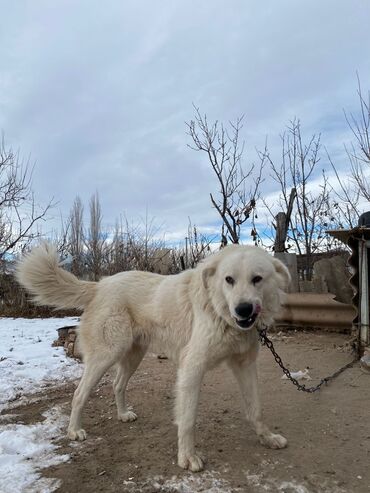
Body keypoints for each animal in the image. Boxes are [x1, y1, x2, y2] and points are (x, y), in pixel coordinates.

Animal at [16, 244, 290, 470]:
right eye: (229, 280)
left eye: (257, 279)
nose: (243, 309)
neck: (218, 310)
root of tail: (99, 285)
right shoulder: (192, 368)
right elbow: (187, 419)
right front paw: (187, 458)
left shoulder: (245, 365)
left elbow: (256, 409)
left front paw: (267, 438)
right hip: (106, 355)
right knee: (79, 393)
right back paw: (74, 431)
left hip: (133, 355)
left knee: (117, 384)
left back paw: (123, 414)